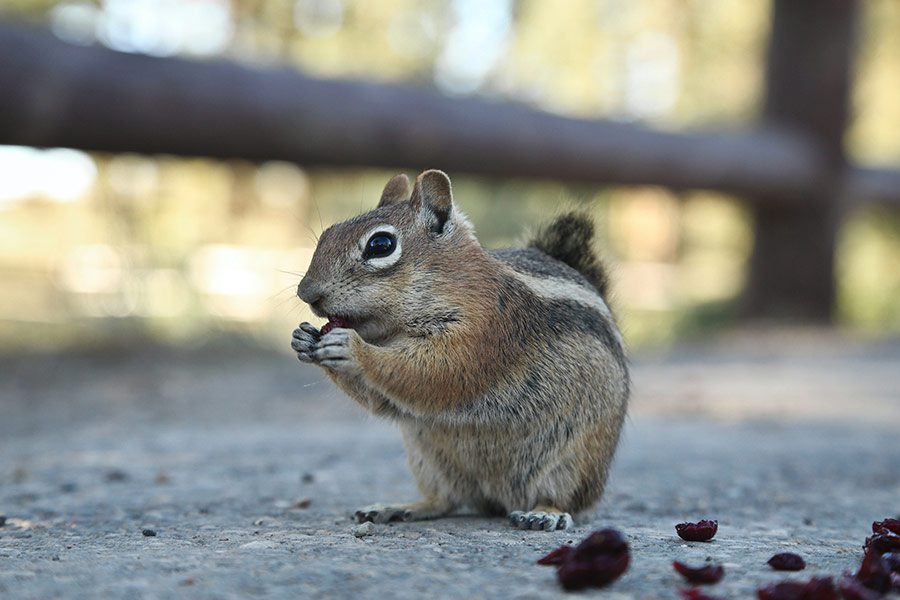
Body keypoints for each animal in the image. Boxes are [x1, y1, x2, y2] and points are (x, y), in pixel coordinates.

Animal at [292, 169, 629, 531]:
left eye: (380, 245)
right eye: (327, 234)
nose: (306, 292)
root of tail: (498, 499)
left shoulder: (485, 330)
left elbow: (435, 373)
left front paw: (353, 349)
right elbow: (384, 399)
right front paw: (303, 339)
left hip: (574, 461)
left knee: (566, 500)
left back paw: (544, 513)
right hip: (429, 461)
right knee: (446, 500)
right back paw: (399, 507)